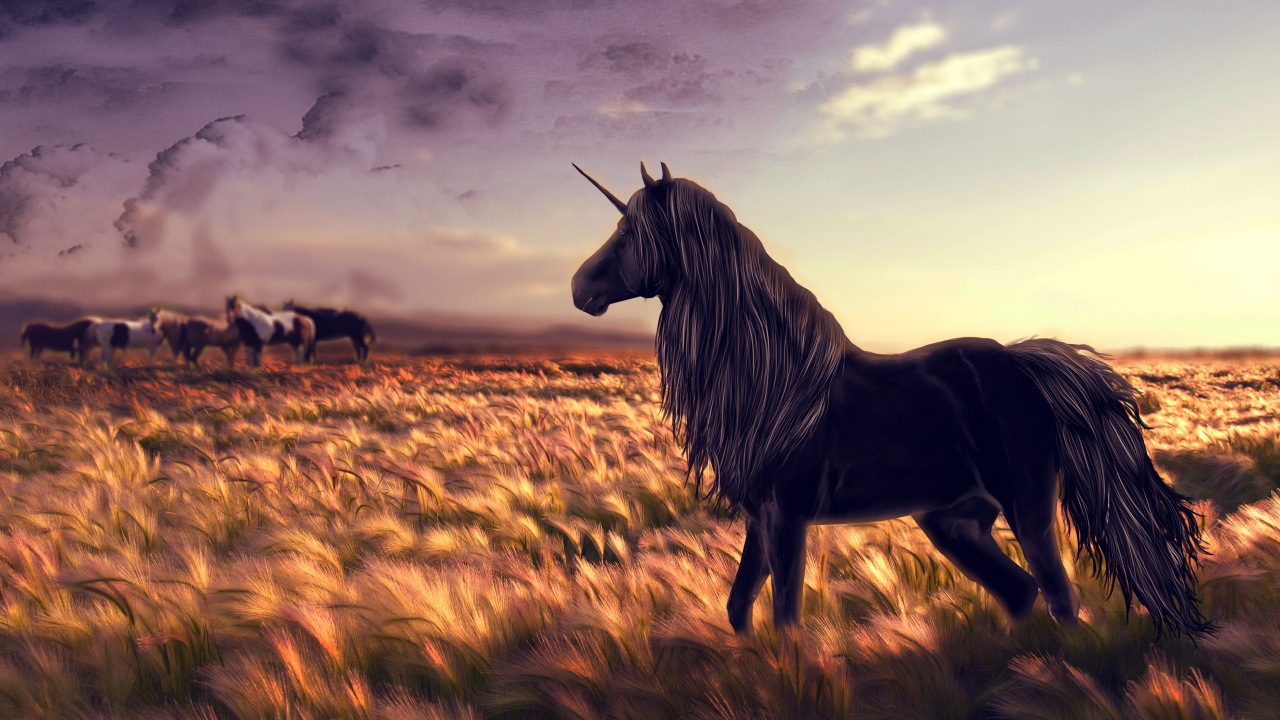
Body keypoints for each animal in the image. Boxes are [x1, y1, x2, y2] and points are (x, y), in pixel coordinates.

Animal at [570, 162, 1213, 638]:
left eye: (628, 234)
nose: (579, 287)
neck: (776, 384)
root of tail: (1020, 364)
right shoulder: (760, 516)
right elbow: (738, 609)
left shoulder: (788, 517)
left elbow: (784, 618)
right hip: (951, 519)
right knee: (1022, 592)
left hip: (1026, 508)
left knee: (1056, 596)